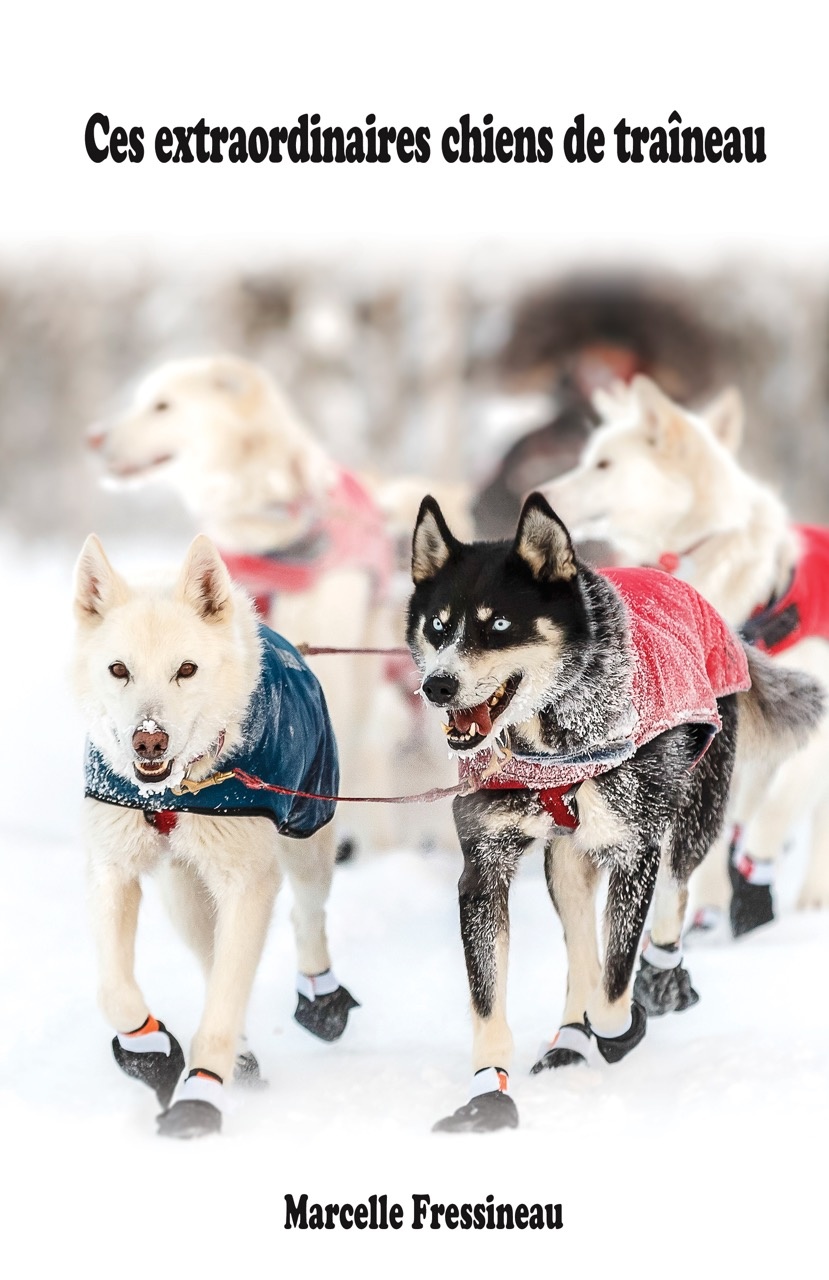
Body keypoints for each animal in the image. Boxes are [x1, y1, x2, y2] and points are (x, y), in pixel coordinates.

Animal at [77, 532, 358, 1141]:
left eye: (186, 669)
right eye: (118, 669)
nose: (149, 740)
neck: (174, 792)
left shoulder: (248, 884)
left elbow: (224, 1008)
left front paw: (200, 1094)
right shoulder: (114, 868)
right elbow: (113, 990)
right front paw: (151, 1051)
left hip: (307, 840)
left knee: (306, 914)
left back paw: (321, 1000)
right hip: (184, 893)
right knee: (211, 958)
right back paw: (245, 1055)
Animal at [537, 373, 829, 936]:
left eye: (604, 464)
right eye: (588, 458)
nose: (540, 491)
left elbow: (774, 814)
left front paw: (752, 889)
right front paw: (712, 903)